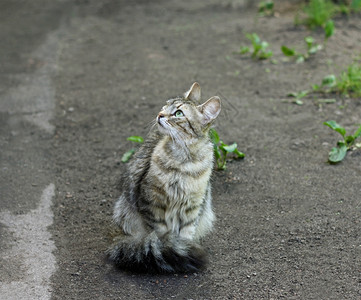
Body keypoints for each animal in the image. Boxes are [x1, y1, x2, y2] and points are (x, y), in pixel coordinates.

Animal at [107, 83, 219, 274]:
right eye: (165, 106)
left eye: (179, 113)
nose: (160, 114)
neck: (183, 163)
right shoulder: (152, 204)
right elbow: (159, 235)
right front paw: (167, 251)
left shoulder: (193, 208)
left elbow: (186, 235)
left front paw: (182, 249)